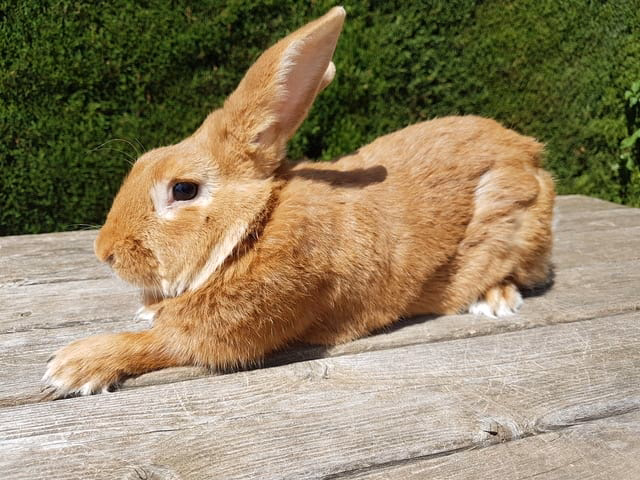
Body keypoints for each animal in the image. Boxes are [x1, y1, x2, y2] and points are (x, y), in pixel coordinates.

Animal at [43, 6, 554, 397]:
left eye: (183, 190)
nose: (104, 252)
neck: (255, 225)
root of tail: (529, 153)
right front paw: (146, 310)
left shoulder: (235, 328)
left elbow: (164, 343)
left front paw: (73, 365)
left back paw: (494, 300)